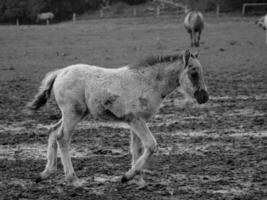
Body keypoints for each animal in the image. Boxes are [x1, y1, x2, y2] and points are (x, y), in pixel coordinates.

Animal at [27, 49, 210, 187]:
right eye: (194, 73)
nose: (204, 97)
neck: (148, 82)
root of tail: (60, 73)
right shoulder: (136, 120)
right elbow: (151, 145)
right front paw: (127, 176)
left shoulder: (137, 121)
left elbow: (137, 149)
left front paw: (139, 180)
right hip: (73, 114)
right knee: (62, 138)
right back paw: (74, 180)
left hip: (71, 114)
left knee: (52, 131)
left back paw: (45, 174)